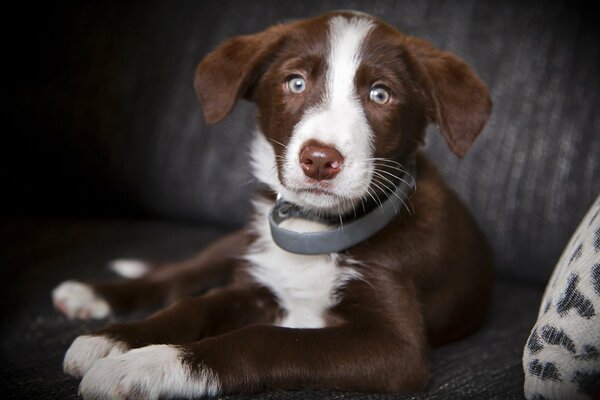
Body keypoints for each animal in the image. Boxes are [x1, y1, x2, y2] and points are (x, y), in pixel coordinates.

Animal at [51, 10, 492, 398]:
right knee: (178, 277)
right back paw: (91, 297)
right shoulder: (255, 283)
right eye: (295, 83)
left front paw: (147, 365)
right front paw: (120, 340)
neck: (313, 230)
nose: (319, 160)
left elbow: (264, 339)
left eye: (380, 94)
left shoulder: (396, 348)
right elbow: (191, 307)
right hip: (239, 243)